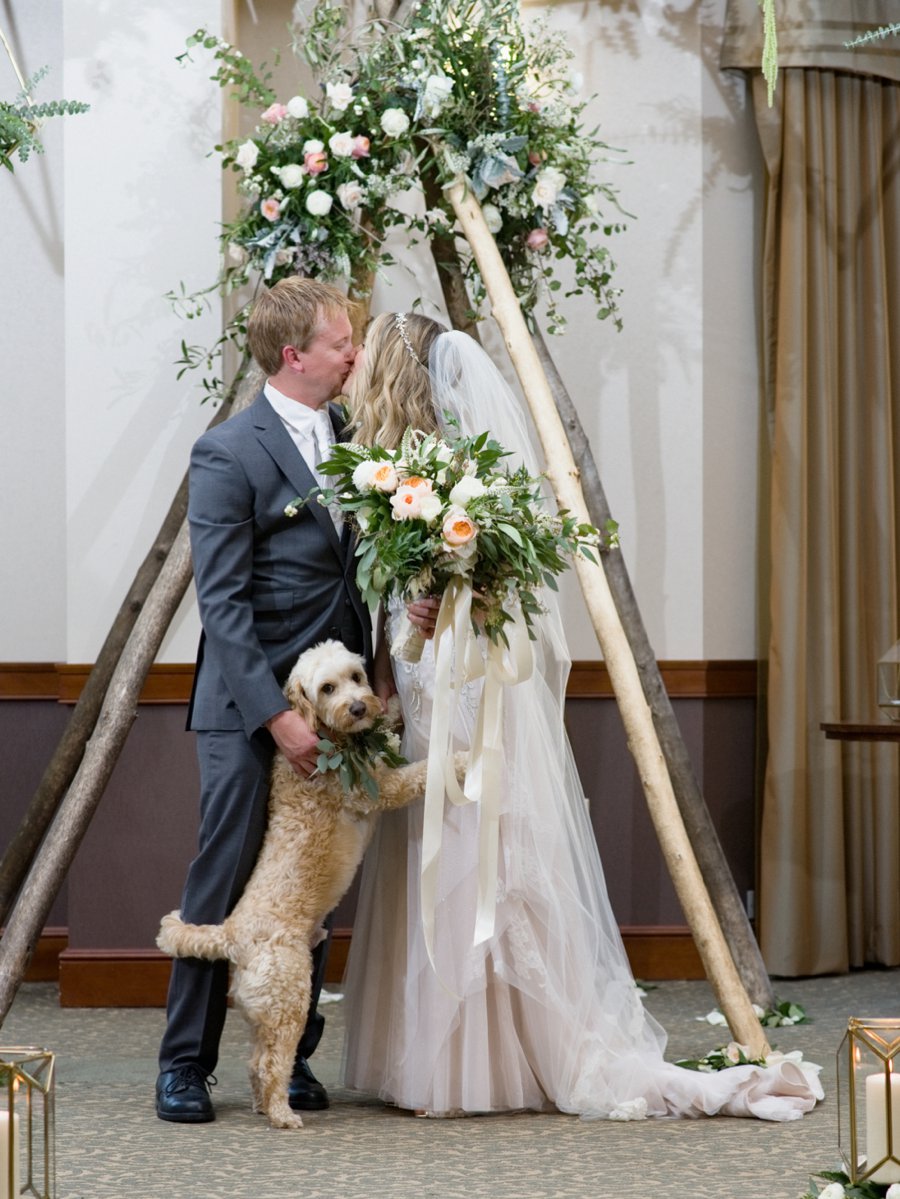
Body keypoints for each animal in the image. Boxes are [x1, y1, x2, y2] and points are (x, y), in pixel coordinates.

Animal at [156, 642, 464, 1127]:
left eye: (356, 676)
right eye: (327, 688)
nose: (358, 707)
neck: (326, 738)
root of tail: (231, 935)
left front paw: (391, 706)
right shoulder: (382, 788)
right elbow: (416, 775)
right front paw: (457, 763)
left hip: (265, 1011)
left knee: (256, 1062)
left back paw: (266, 1104)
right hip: (289, 1000)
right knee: (272, 1062)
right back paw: (282, 1113)